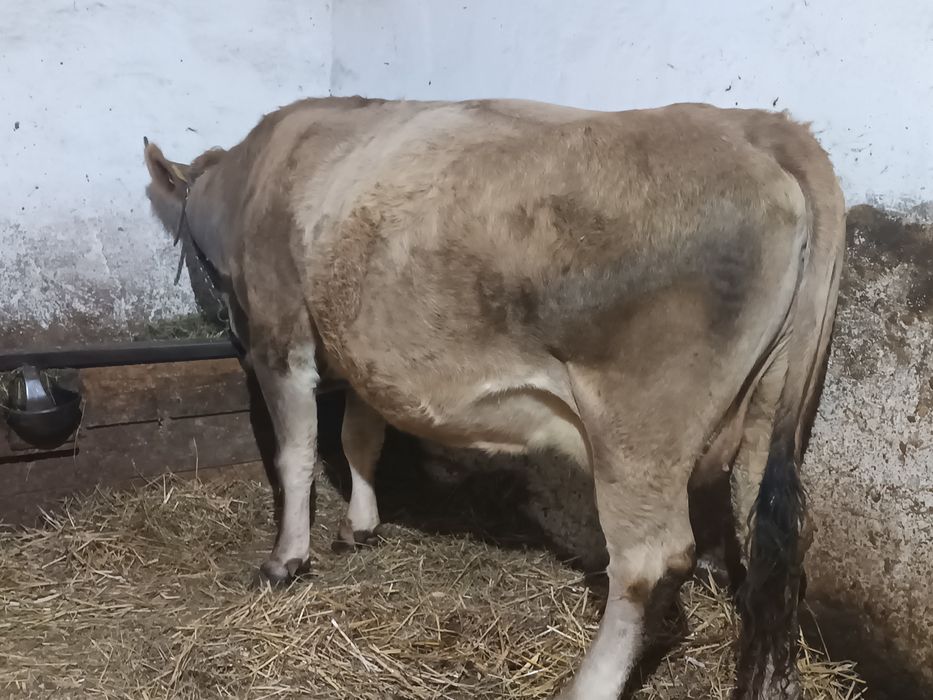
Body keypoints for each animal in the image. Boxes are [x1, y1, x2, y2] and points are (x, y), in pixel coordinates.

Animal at [142, 96, 845, 700]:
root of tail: (752, 125)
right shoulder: (367, 351)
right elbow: (360, 438)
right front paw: (361, 524)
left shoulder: (279, 333)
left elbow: (296, 455)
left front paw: (285, 559)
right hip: (766, 407)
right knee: (767, 533)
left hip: (641, 424)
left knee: (649, 560)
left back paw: (586, 685)